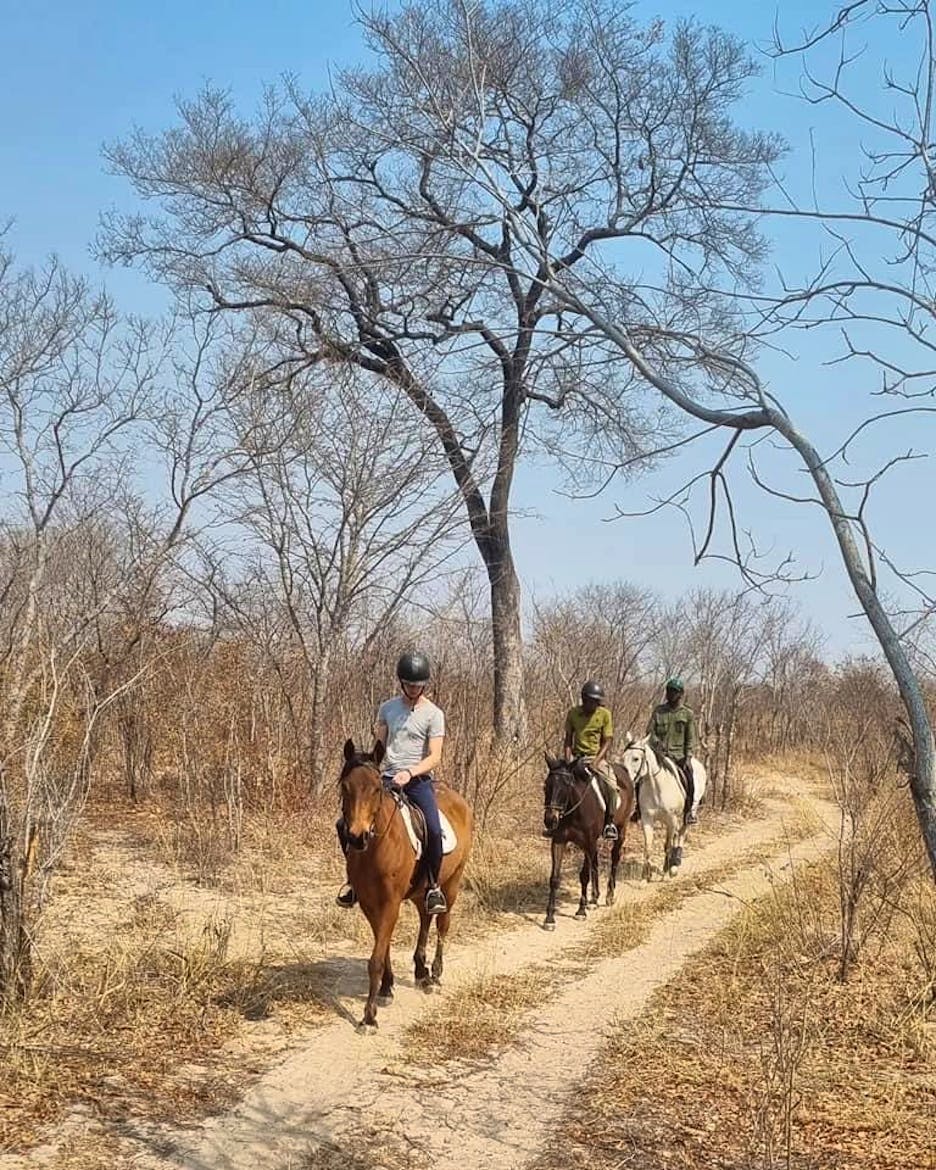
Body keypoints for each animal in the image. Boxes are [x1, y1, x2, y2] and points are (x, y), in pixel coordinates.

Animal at [338, 737, 473, 1030]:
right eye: (345, 787)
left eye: (376, 788)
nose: (356, 837)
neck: (377, 847)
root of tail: (458, 800)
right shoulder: (369, 903)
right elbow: (383, 945)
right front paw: (386, 988)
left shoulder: (390, 903)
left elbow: (376, 959)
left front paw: (369, 1016)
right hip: (421, 890)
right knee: (425, 917)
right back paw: (421, 972)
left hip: (452, 883)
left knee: (442, 925)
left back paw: (435, 974)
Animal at [541, 755, 636, 931]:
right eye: (546, 786)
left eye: (566, 786)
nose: (550, 820)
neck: (574, 810)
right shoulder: (559, 841)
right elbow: (555, 878)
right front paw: (549, 918)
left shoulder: (588, 841)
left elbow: (584, 875)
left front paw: (581, 910)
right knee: (596, 863)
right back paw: (594, 898)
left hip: (621, 828)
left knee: (614, 858)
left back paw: (609, 896)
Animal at [619, 736, 707, 881]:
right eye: (623, 757)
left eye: (636, 758)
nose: (624, 781)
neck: (657, 787)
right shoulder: (647, 820)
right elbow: (648, 846)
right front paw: (645, 877)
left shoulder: (671, 820)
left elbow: (667, 846)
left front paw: (665, 872)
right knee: (677, 835)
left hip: (687, 815)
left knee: (681, 835)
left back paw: (675, 865)